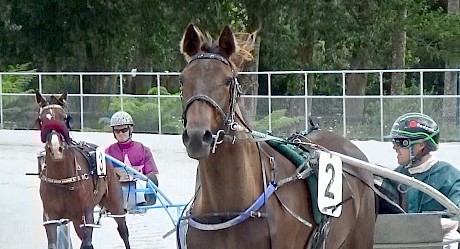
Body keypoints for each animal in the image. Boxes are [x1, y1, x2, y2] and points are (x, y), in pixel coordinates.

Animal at [34, 92, 129, 249]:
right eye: (41, 120)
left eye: (65, 118)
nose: (56, 149)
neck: (62, 179)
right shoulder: (50, 217)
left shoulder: (85, 216)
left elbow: (87, 242)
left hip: (115, 204)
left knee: (123, 231)